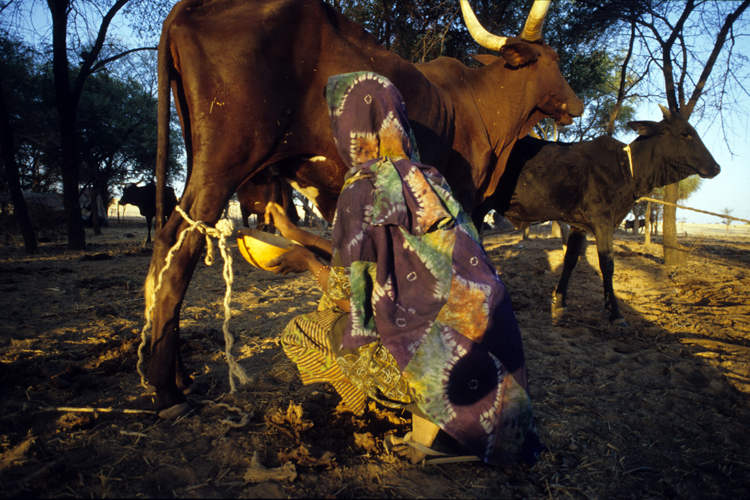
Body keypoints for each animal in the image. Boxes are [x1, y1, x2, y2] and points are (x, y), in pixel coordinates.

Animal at [145, 0, 580, 416]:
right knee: (176, 249)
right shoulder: (463, 198)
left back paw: (177, 376)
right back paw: (168, 393)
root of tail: (193, 5)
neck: (478, 104)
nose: (577, 104)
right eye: (555, 60)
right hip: (221, 166)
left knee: (162, 253)